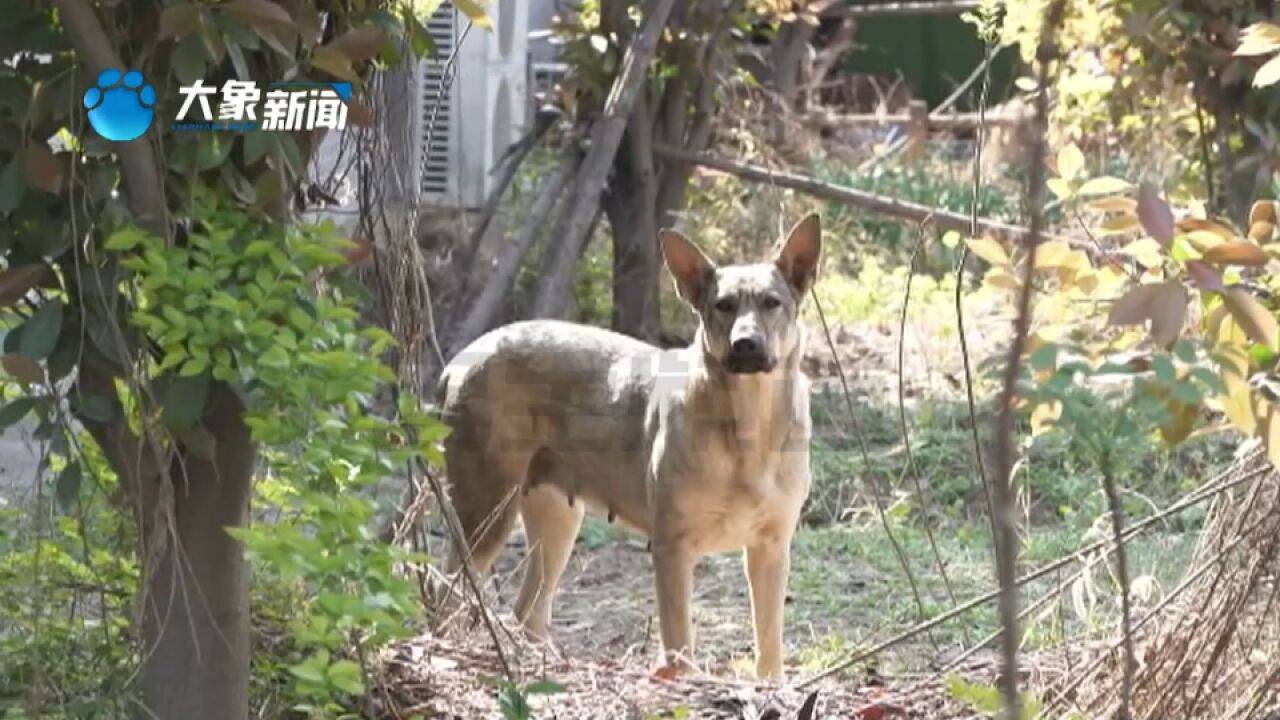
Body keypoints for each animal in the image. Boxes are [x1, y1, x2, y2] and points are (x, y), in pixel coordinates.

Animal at [435, 211, 824, 671]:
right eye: (723, 306)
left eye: (771, 303)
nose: (745, 344)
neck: (749, 429)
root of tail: (461, 358)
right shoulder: (672, 548)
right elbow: (679, 644)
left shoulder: (771, 549)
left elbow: (770, 649)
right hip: (486, 512)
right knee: (443, 590)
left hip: (556, 519)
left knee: (527, 610)